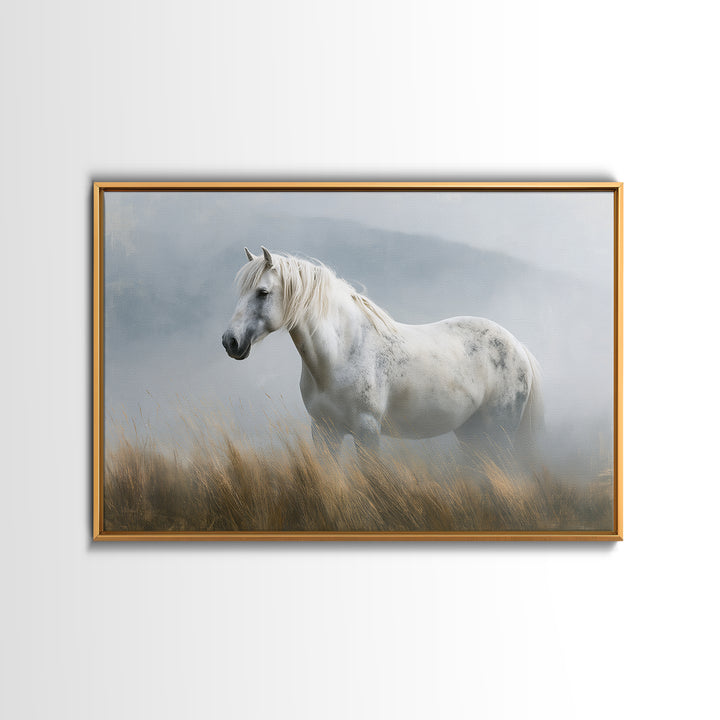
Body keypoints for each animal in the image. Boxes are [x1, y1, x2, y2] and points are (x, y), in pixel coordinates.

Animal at [222, 247, 543, 464]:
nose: (230, 341)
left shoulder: (367, 431)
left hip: (497, 434)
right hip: (471, 434)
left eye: (263, 292)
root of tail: (518, 346)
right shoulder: (324, 431)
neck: (341, 354)